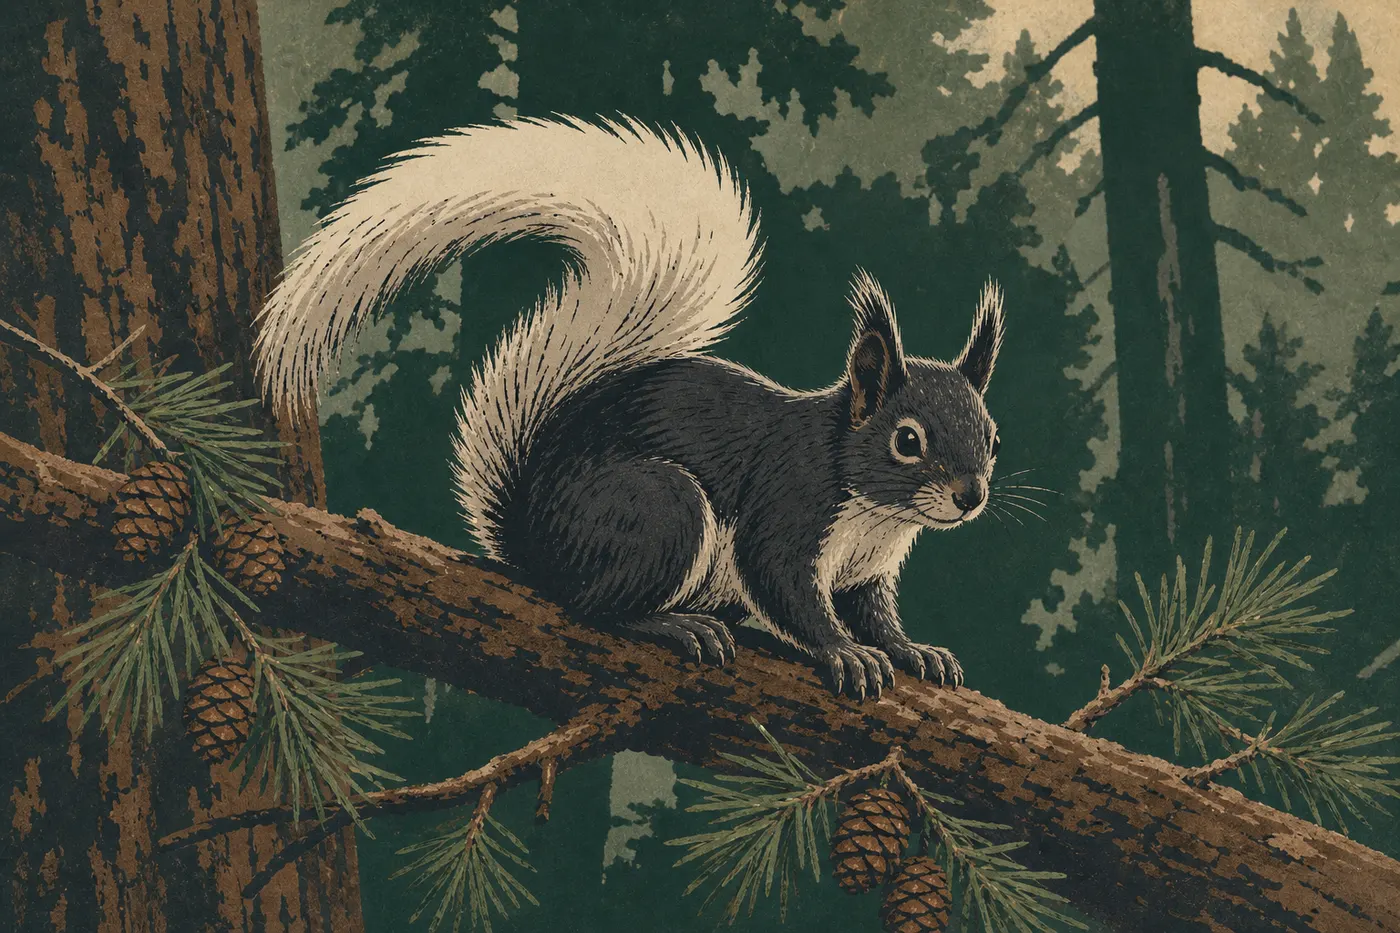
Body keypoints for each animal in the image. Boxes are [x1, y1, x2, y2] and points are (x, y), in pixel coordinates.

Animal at [254, 115, 1005, 701]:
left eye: (994, 439)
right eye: (907, 440)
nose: (970, 496)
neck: (875, 513)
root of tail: (533, 540)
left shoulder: (867, 570)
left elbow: (874, 612)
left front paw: (913, 650)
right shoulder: (790, 505)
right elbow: (785, 585)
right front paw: (842, 651)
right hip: (656, 508)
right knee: (592, 607)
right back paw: (671, 623)